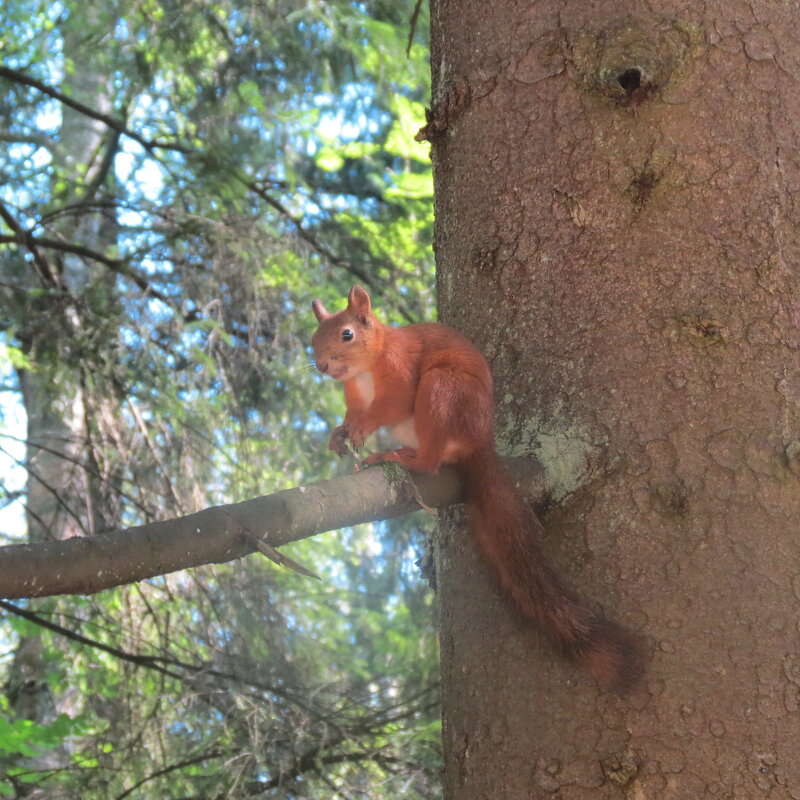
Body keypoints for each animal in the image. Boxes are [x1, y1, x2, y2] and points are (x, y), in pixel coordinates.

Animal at [310, 286, 640, 688]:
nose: (322, 366)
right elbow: (350, 415)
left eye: (347, 334)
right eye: (313, 338)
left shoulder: (400, 374)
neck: (363, 372)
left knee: (432, 459)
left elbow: (391, 405)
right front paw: (339, 433)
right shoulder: (354, 397)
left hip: (442, 391)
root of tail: (480, 441)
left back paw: (400, 457)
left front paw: (360, 429)